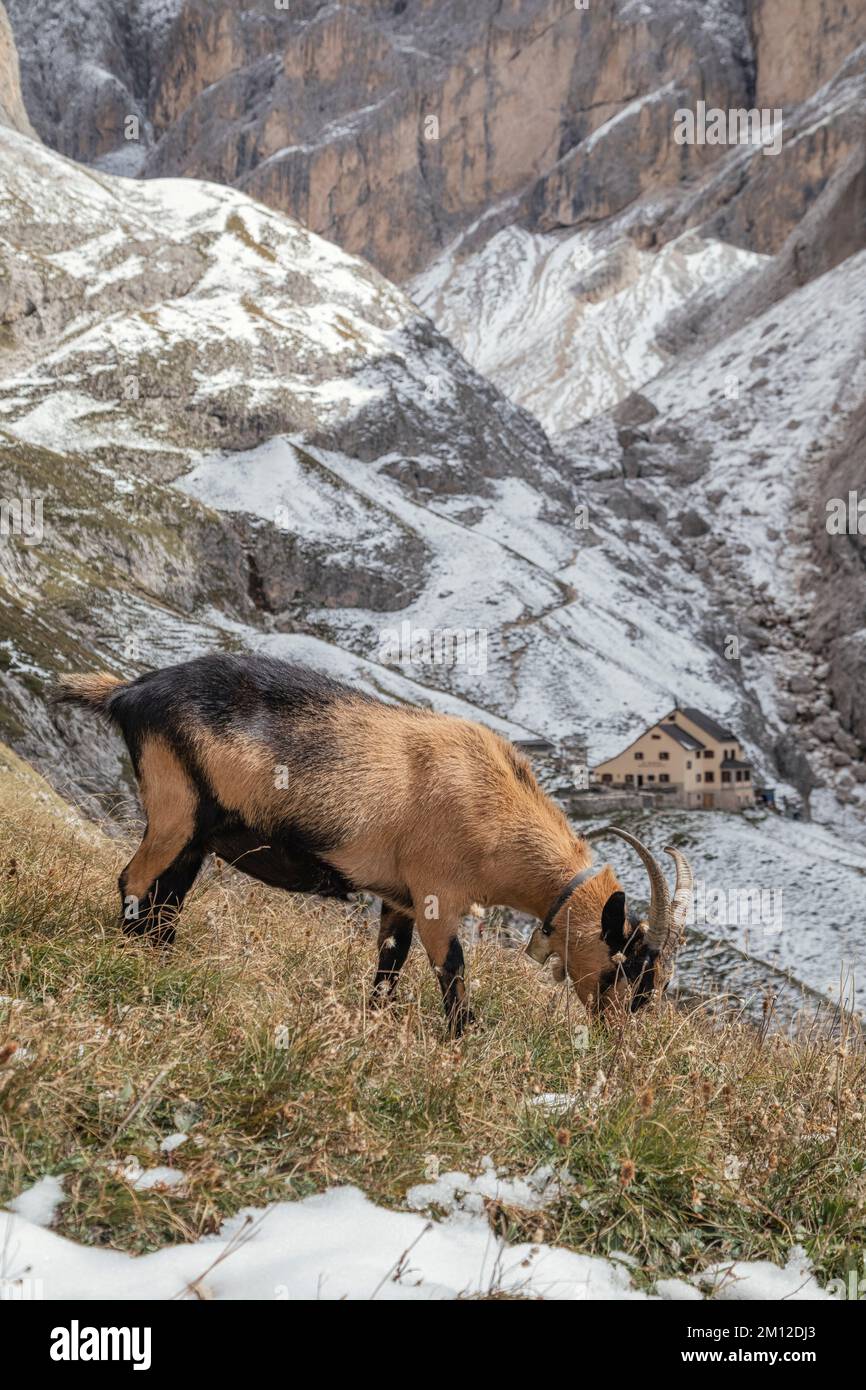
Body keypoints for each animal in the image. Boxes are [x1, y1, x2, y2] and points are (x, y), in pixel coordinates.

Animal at [54, 654, 691, 1034]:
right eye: (629, 969)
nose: (620, 1041)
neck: (494, 801)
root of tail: (130, 692)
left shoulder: (399, 897)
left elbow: (389, 963)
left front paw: (377, 1022)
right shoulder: (436, 896)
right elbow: (452, 975)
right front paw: (462, 1043)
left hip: (197, 831)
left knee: (168, 899)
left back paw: (160, 962)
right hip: (175, 806)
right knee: (136, 881)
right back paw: (129, 962)